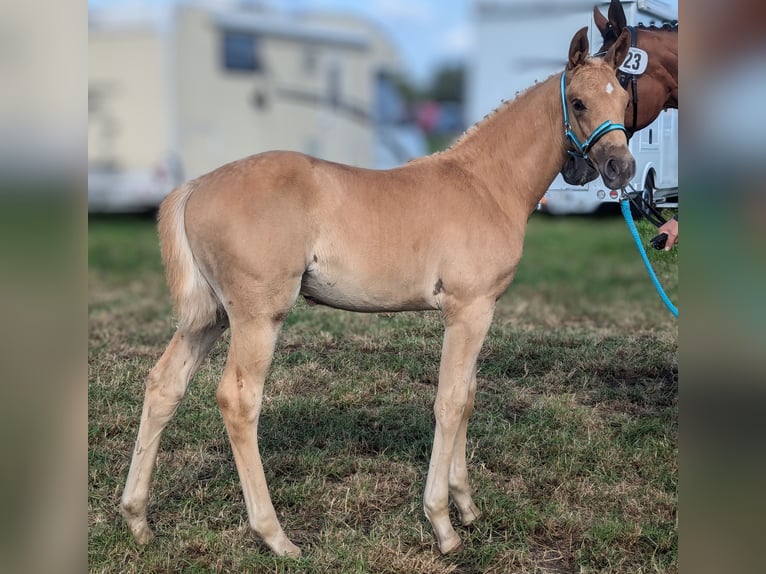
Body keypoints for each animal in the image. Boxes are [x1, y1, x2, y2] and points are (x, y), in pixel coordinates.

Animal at [120, 27, 636, 560]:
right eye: (578, 102)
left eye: (624, 98)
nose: (620, 168)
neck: (485, 184)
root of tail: (197, 184)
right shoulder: (468, 310)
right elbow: (450, 402)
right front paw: (443, 524)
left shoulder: (480, 312)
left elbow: (468, 397)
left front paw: (467, 507)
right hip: (257, 317)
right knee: (239, 400)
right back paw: (275, 536)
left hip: (209, 317)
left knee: (164, 385)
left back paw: (138, 519)